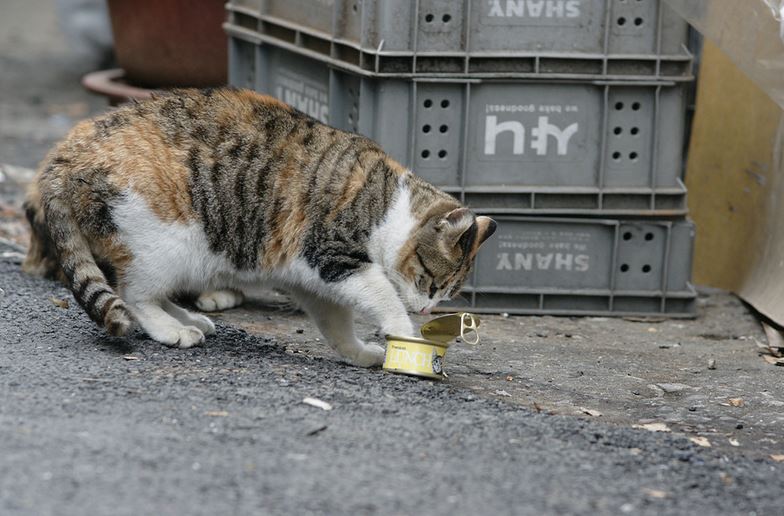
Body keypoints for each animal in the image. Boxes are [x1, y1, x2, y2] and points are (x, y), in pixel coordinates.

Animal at [24, 90, 496, 368]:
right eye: (430, 283)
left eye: (445, 294)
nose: (428, 310)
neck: (386, 206)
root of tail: (67, 152)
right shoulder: (333, 256)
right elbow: (383, 295)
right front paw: (405, 332)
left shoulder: (314, 280)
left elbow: (336, 323)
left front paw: (357, 352)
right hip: (168, 240)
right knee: (134, 293)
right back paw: (172, 329)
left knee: (148, 290)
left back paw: (188, 317)